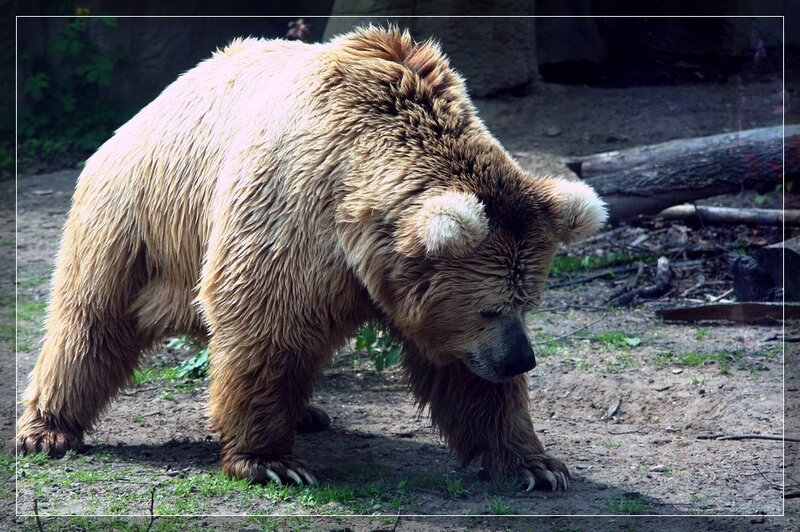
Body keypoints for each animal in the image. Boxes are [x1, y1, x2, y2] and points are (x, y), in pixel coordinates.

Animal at [17, 26, 607, 491]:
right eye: (489, 307)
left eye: (527, 302)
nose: (521, 360)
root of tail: (153, 102)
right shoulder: (291, 213)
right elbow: (265, 325)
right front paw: (270, 461)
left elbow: (468, 379)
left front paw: (535, 465)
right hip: (138, 220)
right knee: (92, 318)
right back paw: (47, 428)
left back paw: (310, 412)